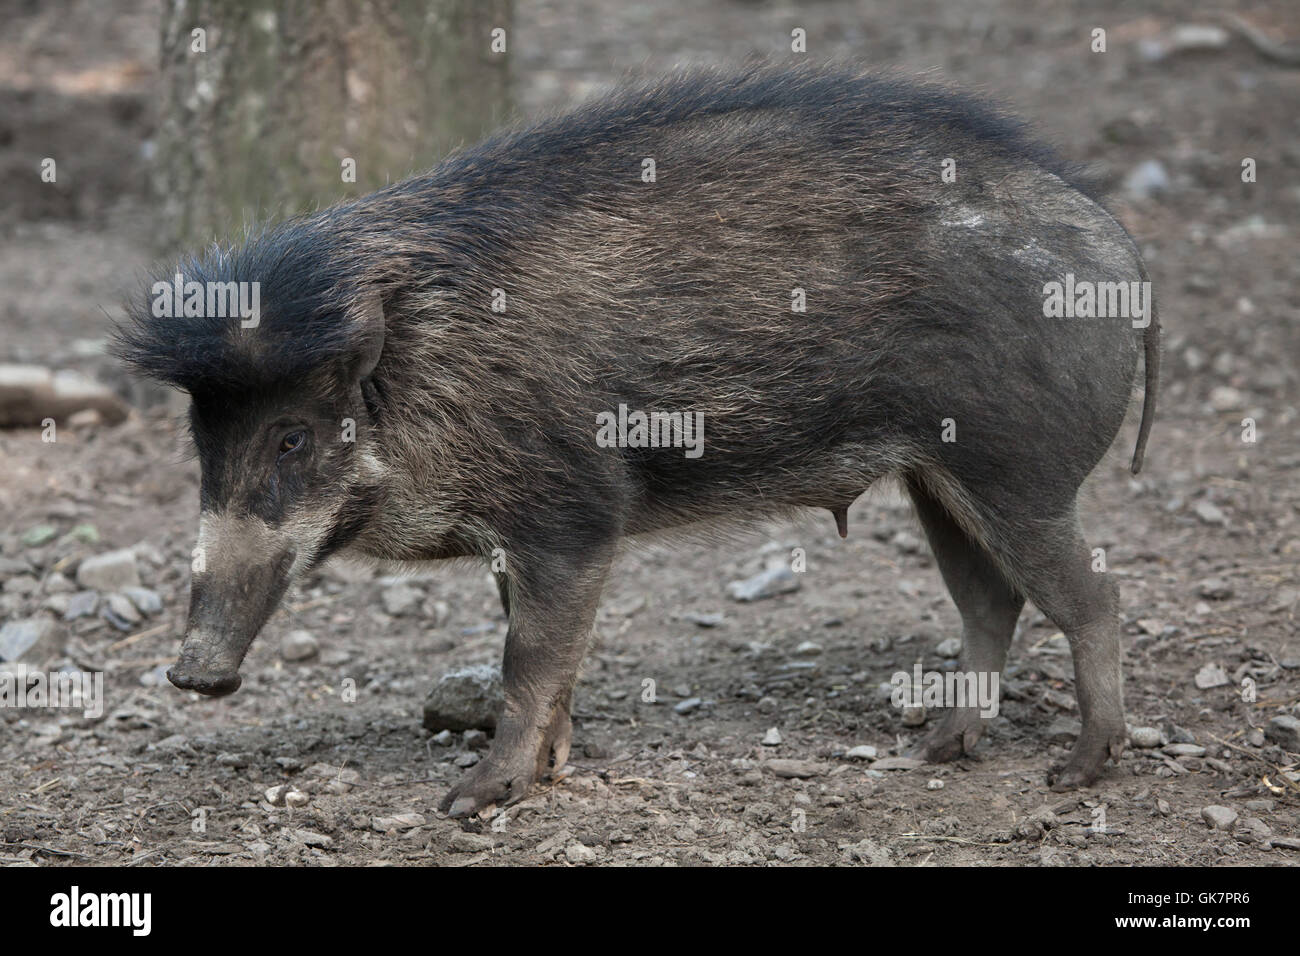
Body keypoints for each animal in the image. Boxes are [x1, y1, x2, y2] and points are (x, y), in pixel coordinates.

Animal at [114, 65, 1159, 817]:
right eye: (202, 439)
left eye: (293, 438)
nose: (193, 674)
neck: (428, 369)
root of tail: (1119, 251)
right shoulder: (523, 537)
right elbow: (550, 658)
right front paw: (548, 774)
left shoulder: (574, 514)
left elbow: (528, 661)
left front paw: (472, 802)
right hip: (936, 476)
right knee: (992, 599)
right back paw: (934, 749)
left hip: (1016, 468)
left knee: (1094, 596)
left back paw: (1079, 771)